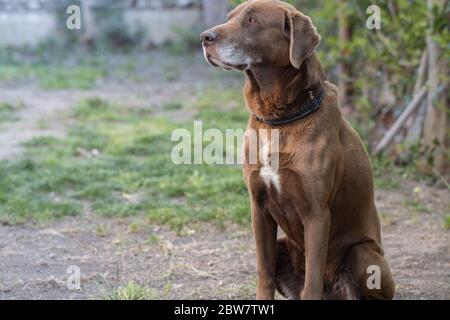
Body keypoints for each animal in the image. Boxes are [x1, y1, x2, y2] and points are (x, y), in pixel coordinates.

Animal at [200, 0, 394, 300]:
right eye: (230, 17)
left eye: (252, 20)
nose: (204, 38)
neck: (280, 119)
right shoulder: (259, 208)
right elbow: (264, 273)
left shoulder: (317, 214)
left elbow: (312, 282)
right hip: (284, 243)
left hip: (364, 255)